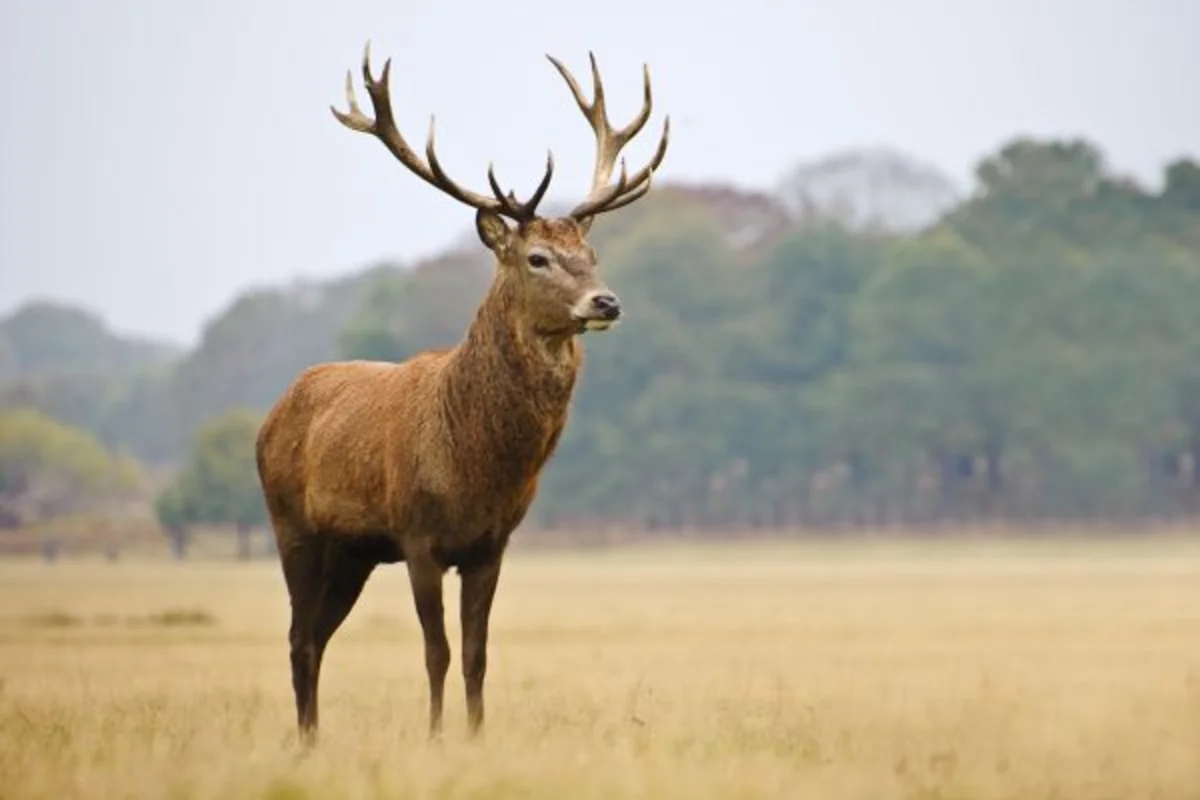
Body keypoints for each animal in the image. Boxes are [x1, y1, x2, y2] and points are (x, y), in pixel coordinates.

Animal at [255, 42, 669, 746]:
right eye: (536, 258)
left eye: (590, 254)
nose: (606, 301)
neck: (475, 465)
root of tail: (273, 413)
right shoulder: (418, 536)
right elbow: (437, 651)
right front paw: (436, 737)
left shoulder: (490, 544)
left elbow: (477, 652)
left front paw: (475, 736)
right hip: (294, 527)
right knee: (298, 639)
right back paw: (307, 743)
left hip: (352, 553)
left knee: (315, 636)